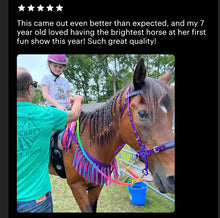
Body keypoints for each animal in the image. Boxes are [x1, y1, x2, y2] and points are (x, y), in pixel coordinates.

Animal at [48, 57, 175, 212]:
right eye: (142, 113)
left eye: (171, 113)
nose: (173, 178)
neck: (91, 143)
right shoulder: (76, 186)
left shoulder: (96, 186)